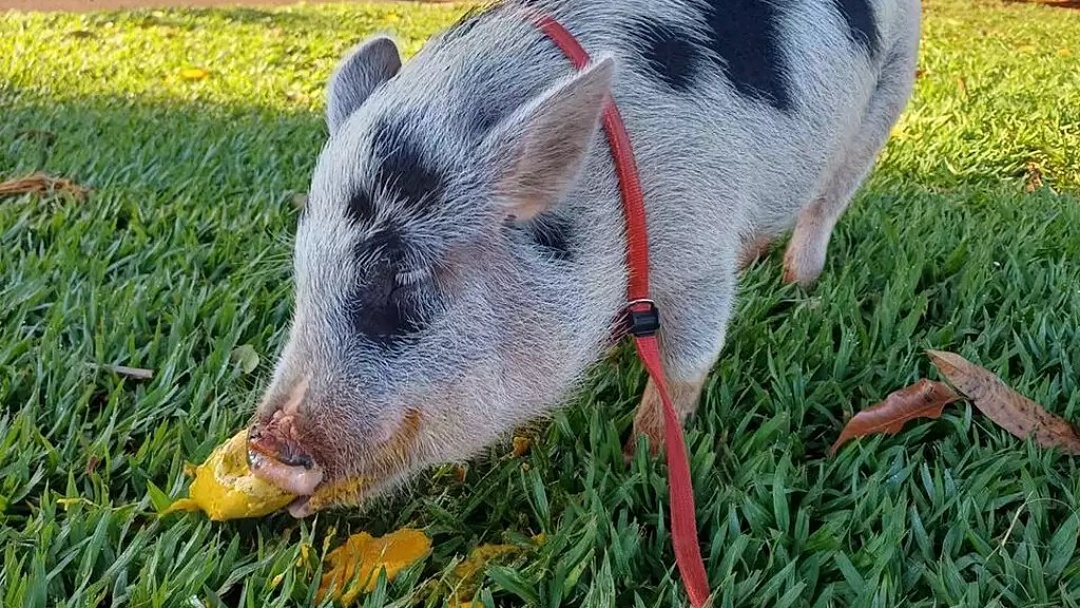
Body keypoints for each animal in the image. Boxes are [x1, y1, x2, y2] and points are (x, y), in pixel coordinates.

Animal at [245, 0, 921, 517]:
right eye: (302, 272)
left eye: (402, 280)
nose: (263, 449)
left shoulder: (701, 251)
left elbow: (686, 364)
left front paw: (638, 461)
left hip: (892, 84)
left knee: (830, 198)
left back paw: (799, 285)